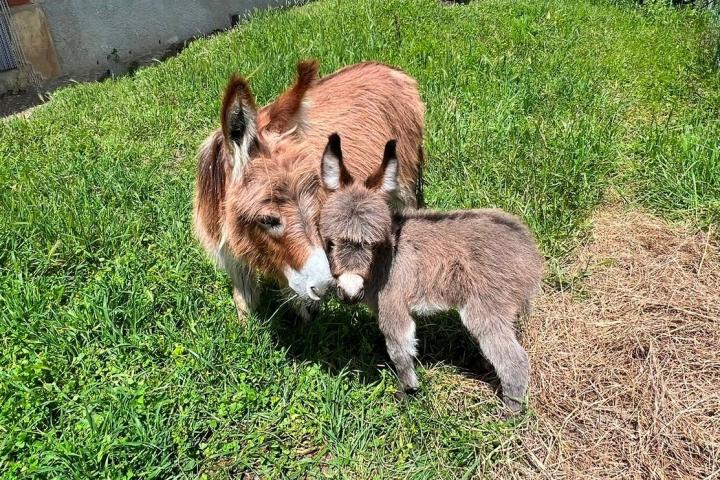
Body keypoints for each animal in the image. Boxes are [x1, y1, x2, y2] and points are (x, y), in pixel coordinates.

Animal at [318, 133, 544, 410]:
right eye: (330, 242)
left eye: (374, 243)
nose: (350, 292)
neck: (388, 255)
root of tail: (528, 249)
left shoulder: (393, 304)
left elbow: (400, 352)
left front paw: (407, 393)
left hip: (486, 307)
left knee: (514, 361)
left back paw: (509, 413)